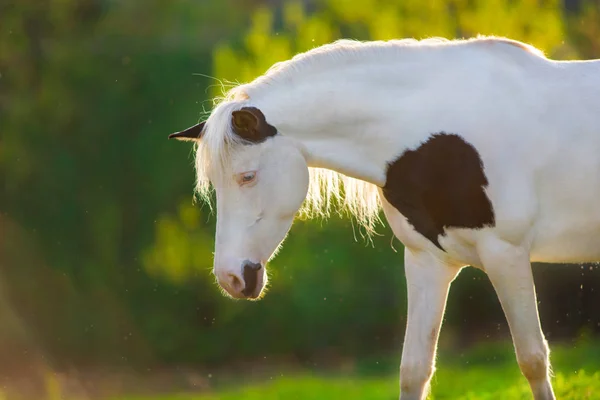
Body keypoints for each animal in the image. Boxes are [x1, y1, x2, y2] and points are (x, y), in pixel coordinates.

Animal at [168, 36, 600, 398]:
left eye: (247, 176)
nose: (231, 277)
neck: (434, 134)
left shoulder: (506, 255)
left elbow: (533, 359)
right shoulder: (429, 262)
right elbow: (414, 369)